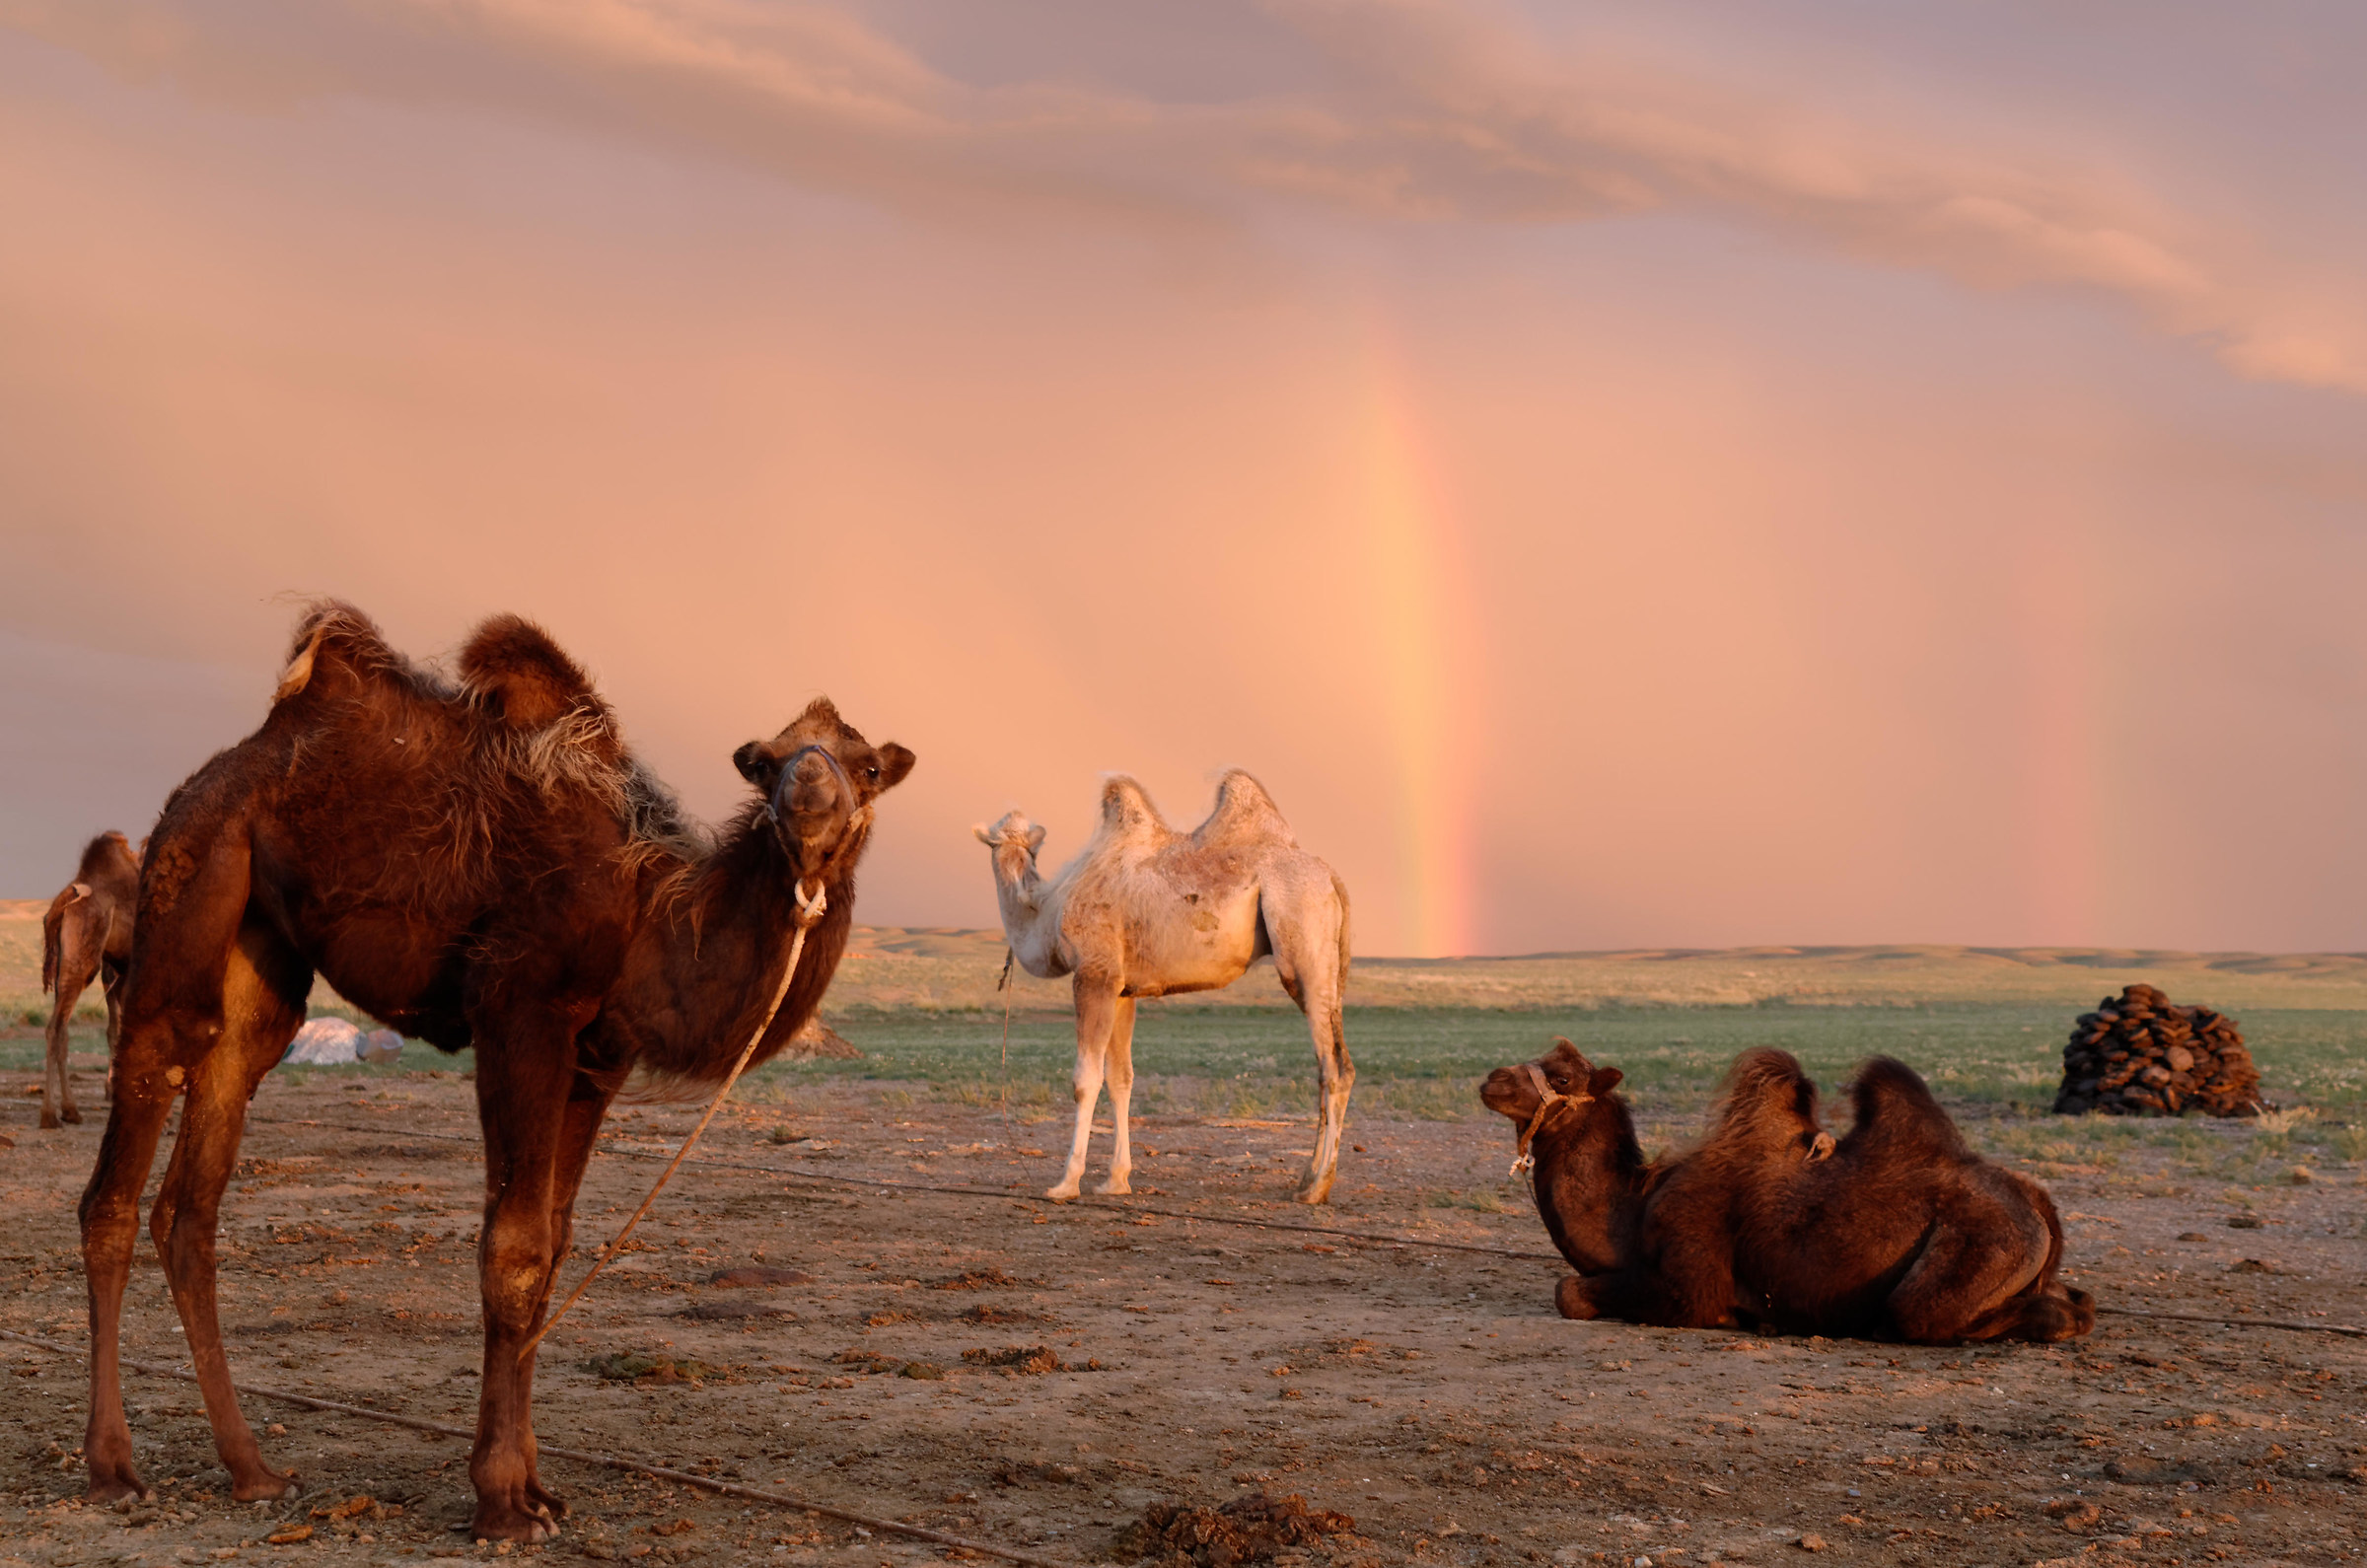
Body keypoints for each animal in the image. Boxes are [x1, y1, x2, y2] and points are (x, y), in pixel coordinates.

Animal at [38, 831, 141, 1128]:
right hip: (81, 961)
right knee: (56, 1028)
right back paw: (51, 1114)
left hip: (64, 967)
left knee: (61, 1029)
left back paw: (69, 1111)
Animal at [78, 603, 913, 1541]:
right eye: (768, 760)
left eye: (867, 764)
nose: (809, 797)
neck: (650, 915)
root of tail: (216, 774)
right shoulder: (522, 1011)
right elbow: (512, 1249)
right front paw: (503, 1502)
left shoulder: (597, 1061)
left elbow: (553, 1245)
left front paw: (540, 1487)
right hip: (190, 875)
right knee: (122, 1166)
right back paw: (112, 1470)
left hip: (261, 956)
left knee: (197, 1186)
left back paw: (253, 1470)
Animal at [977, 772, 1352, 1204]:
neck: (1046, 908)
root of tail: (1331, 878)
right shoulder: (1123, 990)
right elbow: (1120, 1079)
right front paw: (1116, 1180)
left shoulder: (1095, 973)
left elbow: (1085, 1080)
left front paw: (1066, 1183)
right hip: (1328, 966)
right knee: (1330, 1065)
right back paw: (1306, 1179)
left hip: (1301, 936)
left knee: (1335, 1068)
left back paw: (1318, 1186)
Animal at [1481, 1040, 2095, 1343]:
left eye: (1562, 1078)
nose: (1490, 1079)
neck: (1631, 1209)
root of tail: (2040, 1206)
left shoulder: (1689, 1280)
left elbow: (1569, 1291)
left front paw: (1741, 1317)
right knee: (2076, 1301)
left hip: (1978, 1249)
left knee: (1933, 1315)